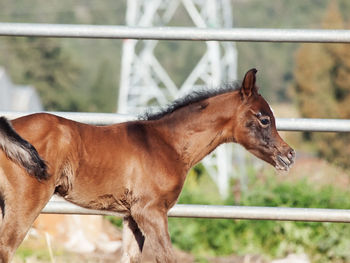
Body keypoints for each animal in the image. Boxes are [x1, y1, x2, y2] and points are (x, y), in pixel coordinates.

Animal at [0, 69, 294, 262]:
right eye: (264, 119)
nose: (288, 155)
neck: (167, 143)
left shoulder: (131, 216)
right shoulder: (150, 211)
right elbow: (167, 257)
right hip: (26, 201)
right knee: (6, 248)